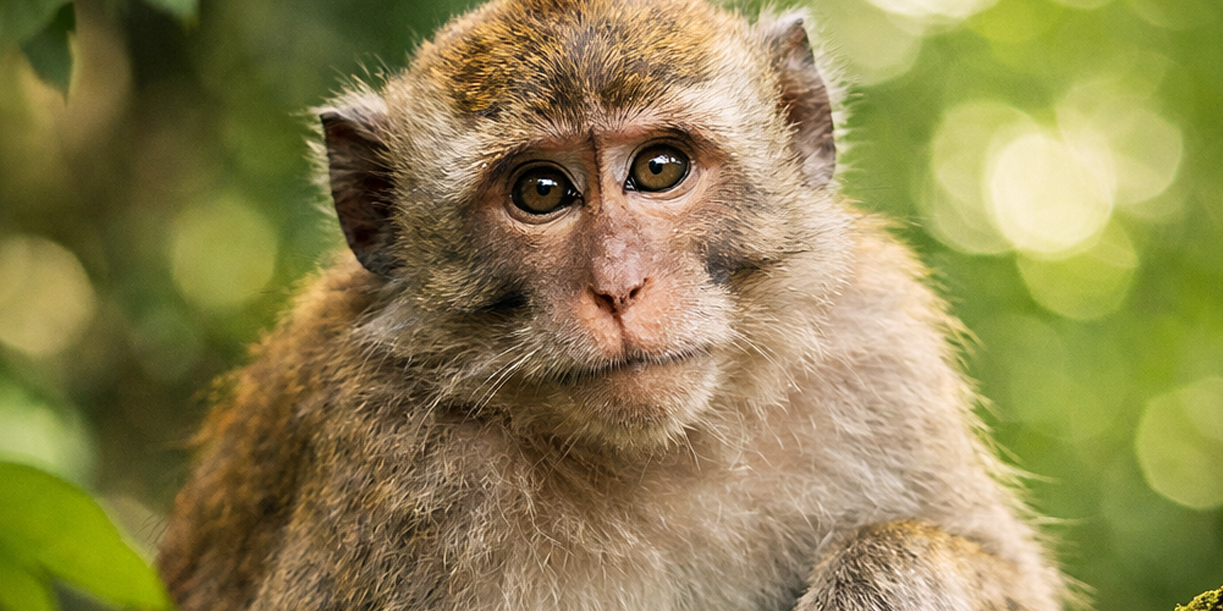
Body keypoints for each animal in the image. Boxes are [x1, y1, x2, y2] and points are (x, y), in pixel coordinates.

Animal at [156, 0, 1067, 609]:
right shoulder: (394, 470)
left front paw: (878, 574)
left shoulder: (874, 346)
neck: (661, 453)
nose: (618, 286)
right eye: (540, 191)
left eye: (659, 168)